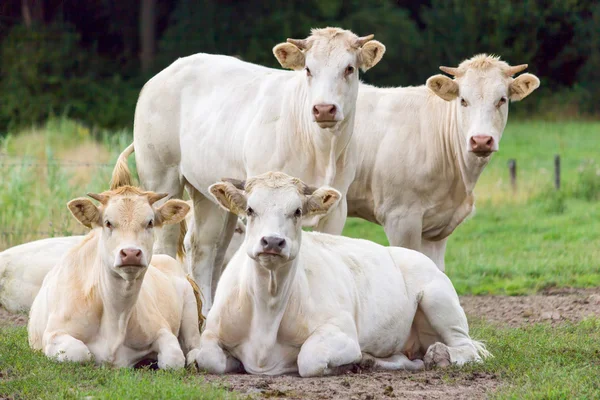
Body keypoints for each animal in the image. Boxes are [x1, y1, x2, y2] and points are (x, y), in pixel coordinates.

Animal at [28, 186, 204, 368]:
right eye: (108, 223)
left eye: (150, 222)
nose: (131, 253)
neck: (116, 313)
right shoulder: (54, 334)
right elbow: (80, 352)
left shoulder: (161, 329)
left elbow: (174, 359)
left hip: (190, 308)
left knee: (194, 345)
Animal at [196, 171, 488, 376]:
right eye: (250, 210)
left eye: (297, 211)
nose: (273, 242)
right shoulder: (211, 333)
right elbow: (205, 357)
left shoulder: (342, 332)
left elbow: (309, 358)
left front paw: (347, 363)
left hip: (440, 300)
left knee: (468, 348)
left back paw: (440, 356)